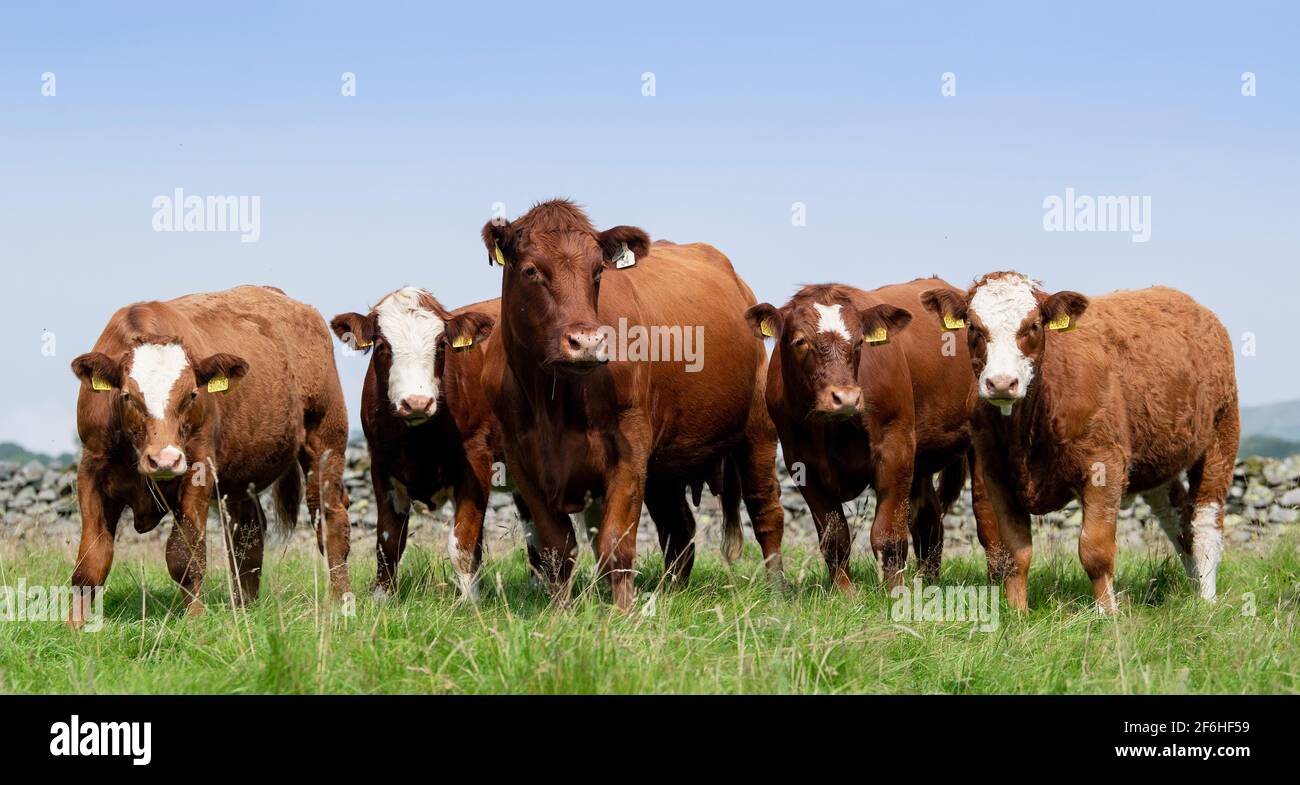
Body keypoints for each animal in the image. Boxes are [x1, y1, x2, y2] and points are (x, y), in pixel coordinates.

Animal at [330, 288, 512, 600]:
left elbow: (462, 543)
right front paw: (382, 598)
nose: (416, 402)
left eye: (441, 346)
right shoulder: (381, 465)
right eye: (381, 345)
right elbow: (388, 542)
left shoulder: (477, 462)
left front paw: (470, 601)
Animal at [478, 198, 780, 610]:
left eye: (597, 273)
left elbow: (615, 545)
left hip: (757, 433)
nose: (587, 342)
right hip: (667, 464)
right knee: (679, 528)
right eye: (530, 270)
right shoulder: (523, 461)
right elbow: (557, 550)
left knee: (766, 514)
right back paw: (672, 590)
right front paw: (560, 612)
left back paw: (779, 590)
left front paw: (622, 612)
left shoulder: (629, 448)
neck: (555, 401)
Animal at [743, 279, 1003, 592]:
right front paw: (844, 593)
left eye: (859, 343)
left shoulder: (895, 448)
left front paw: (894, 592)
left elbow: (888, 534)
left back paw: (997, 581)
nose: (845, 398)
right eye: (800, 341)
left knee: (986, 512)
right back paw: (929, 581)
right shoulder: (802, 463)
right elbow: (834, 537)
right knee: (929, 519)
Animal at [920, 274, 1232, 613]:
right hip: (1156, 461)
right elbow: (1015, 553)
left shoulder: (1104, 464)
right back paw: (1194, 586)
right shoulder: (995, 474)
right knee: (1178, 518)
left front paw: (1107, 614)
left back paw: (1207, 598)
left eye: (1033, 326)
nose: (1001, 383)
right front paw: (1018, 613)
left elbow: (1095, 550)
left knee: (1205, 524)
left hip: (1221, 434)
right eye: (975, 327)